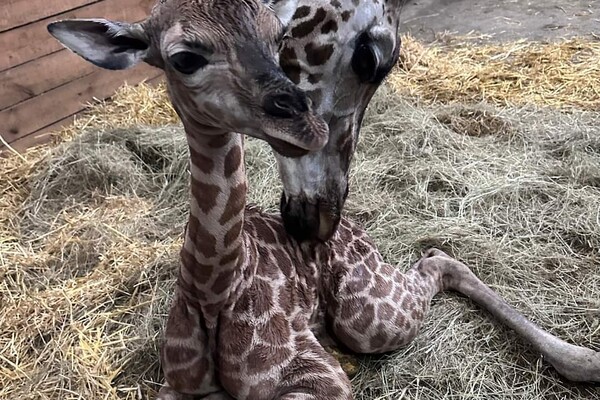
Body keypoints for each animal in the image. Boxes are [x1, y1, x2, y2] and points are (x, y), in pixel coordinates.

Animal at [49, 0, 600, 396]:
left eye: (278, 38)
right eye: (184, 57)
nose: (303, 124)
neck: (213, 290)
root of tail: (355, 230)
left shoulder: (316, 376)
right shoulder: (176, 388)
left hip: (367, 316)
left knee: (437, 261)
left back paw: (583, 359)